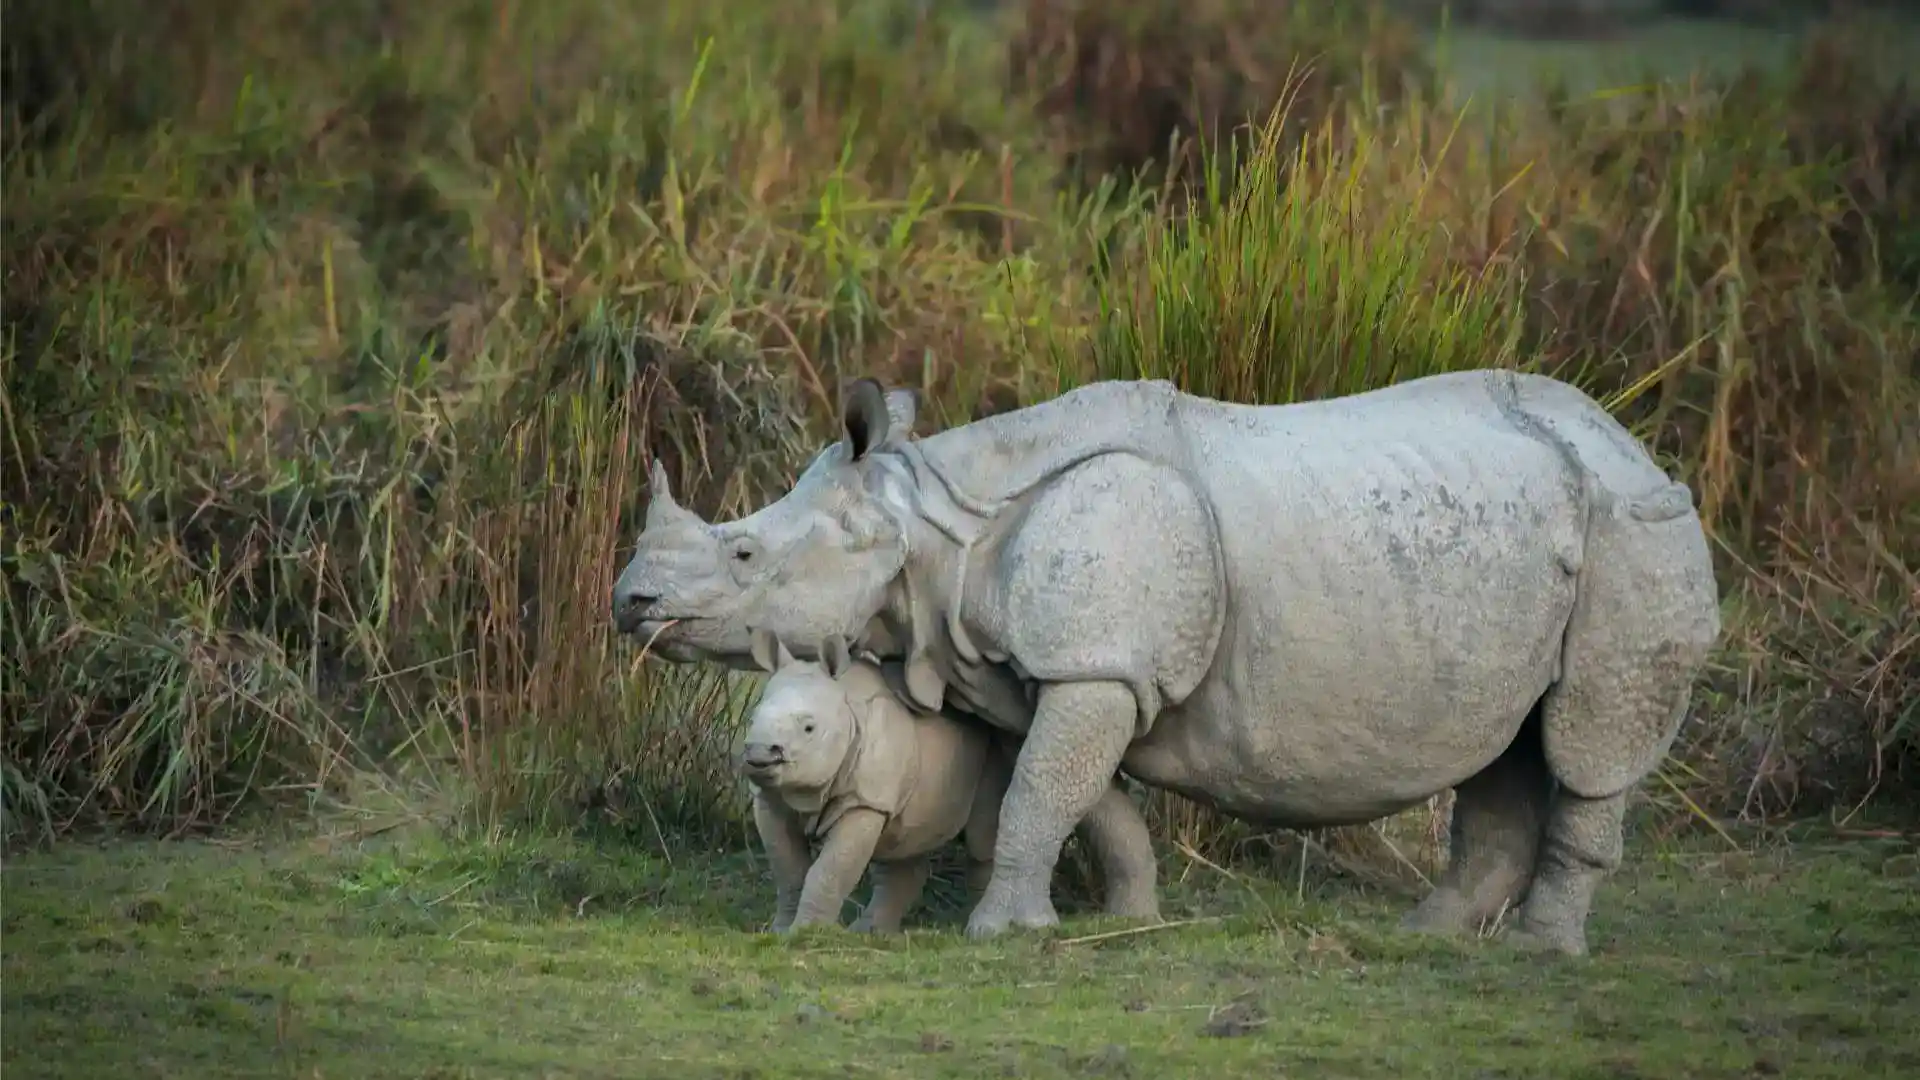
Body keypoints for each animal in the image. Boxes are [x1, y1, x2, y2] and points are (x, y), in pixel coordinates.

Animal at [612, 369, 1722, 956]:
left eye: (743, 555)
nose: (630, 603)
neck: (928, 521)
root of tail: (1636, 444)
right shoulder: (1060, 672)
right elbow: (1086, 797)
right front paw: (1127, 919)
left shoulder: (1095, 663)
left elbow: (1042, 792)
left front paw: (1001, 935)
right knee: (1508, 740)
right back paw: (1426, 938)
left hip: (1637, 533)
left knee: (1588, 745)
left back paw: (1540, 950)